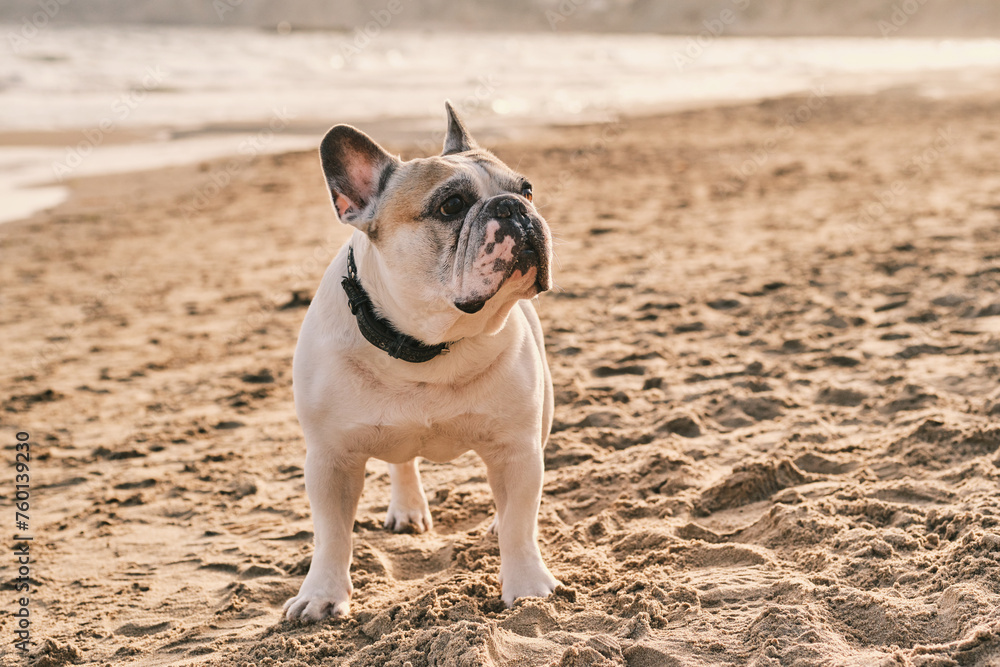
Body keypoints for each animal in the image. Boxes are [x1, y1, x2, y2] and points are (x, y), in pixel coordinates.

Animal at [286, 103, 560, 620]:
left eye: (527, 190)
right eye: (450, 206)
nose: (513, 208)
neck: (426, 346)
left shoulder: (517, 449)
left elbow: (520, 524)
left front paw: (528, 585)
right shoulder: (330, 459)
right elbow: (331, 535)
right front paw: (321, 595)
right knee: (402, 461)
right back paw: (408, 507)